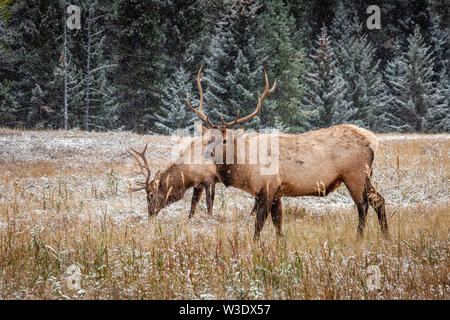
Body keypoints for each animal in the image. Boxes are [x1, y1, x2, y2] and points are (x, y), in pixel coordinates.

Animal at [188, 67, 388, 240]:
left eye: (224, 140)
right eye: (206, 139)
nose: (207, 153)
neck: (245, 169)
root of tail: (373, 141)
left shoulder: (268, 187)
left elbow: (259, 223)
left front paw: (255, 245)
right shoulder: (277, 193)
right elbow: (278, 224)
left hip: (354, 174)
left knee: (363, 205)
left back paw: (359, 237)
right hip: (364, 175)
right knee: (378, 199)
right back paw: (386, 235)